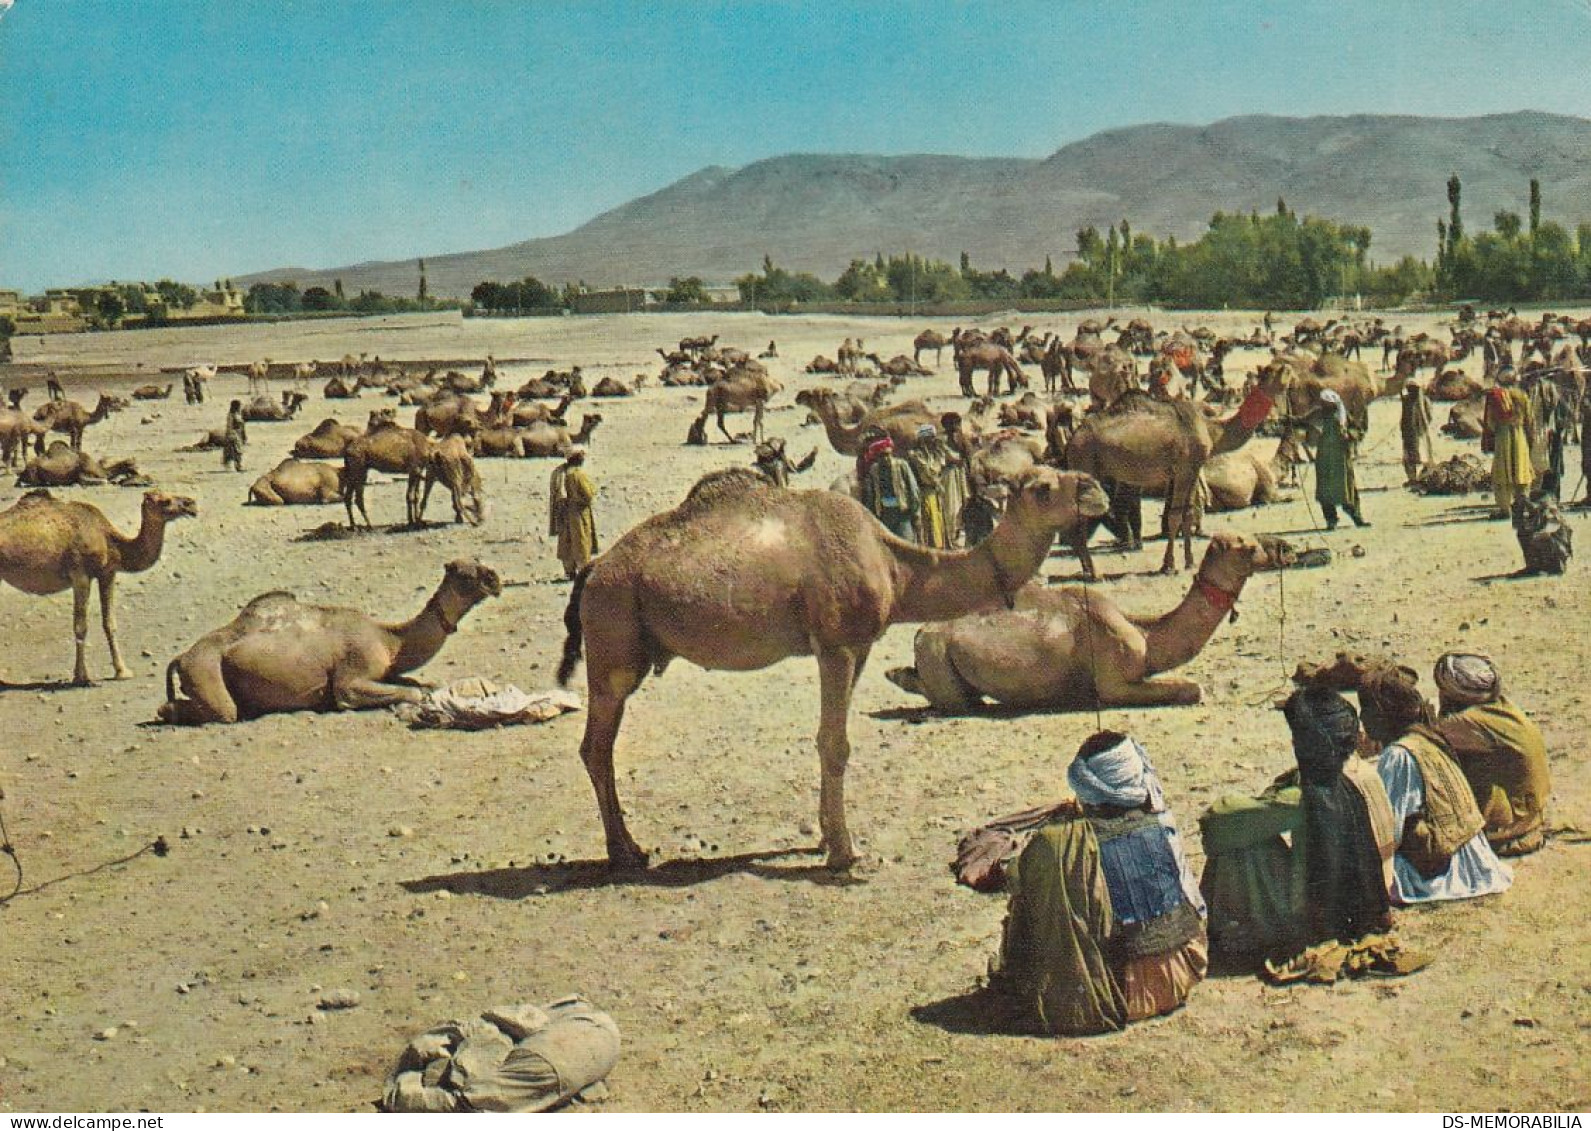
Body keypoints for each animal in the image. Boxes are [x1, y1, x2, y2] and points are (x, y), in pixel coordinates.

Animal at [0, 486, 198, 680]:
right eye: (165, 501)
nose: (191, 504)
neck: (110, 540)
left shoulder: (107, 573)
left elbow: (109, 623)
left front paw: (122, 671)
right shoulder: (80, 574)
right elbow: (81, 626)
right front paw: (82, 676)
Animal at [158, 559, 499, 725]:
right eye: (465, 574)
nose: (494, 580)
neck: (389, 640)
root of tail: (182, 657)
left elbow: (417, 682)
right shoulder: (352, 673)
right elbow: (408, 692)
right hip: (206, 670)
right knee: (222, 711)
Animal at [553, 464, 1113, 871]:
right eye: (1042, 488)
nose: (1096, 490)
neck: (895, 566)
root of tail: (592, 570)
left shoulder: (857, 648)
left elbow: (830, 738)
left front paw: (826, 837)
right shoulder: (836, 644)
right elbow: (835, 744)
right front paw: (845, 852)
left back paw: (627, 848)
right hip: (613, 642)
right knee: (596, 747)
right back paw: (626, 852)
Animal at [890, 534, 1272, 712]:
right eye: (1248, 547)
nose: (1280, 550)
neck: (1146, 634)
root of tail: (921, 632)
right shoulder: (1113, 685)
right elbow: (1193, 688)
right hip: (938, 655)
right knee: (955, 699)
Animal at [1062, 369, 1285, 579]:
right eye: (1280, 371)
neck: (1212, 430)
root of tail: (1072, 441)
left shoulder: (1193, 469)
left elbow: (1188, 513)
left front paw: (1190, 561)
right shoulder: (1184, 469)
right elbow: (1175, 515)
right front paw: (1168, 566)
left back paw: (1088, 569)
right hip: (1085, 464)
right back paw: (1094, 573)